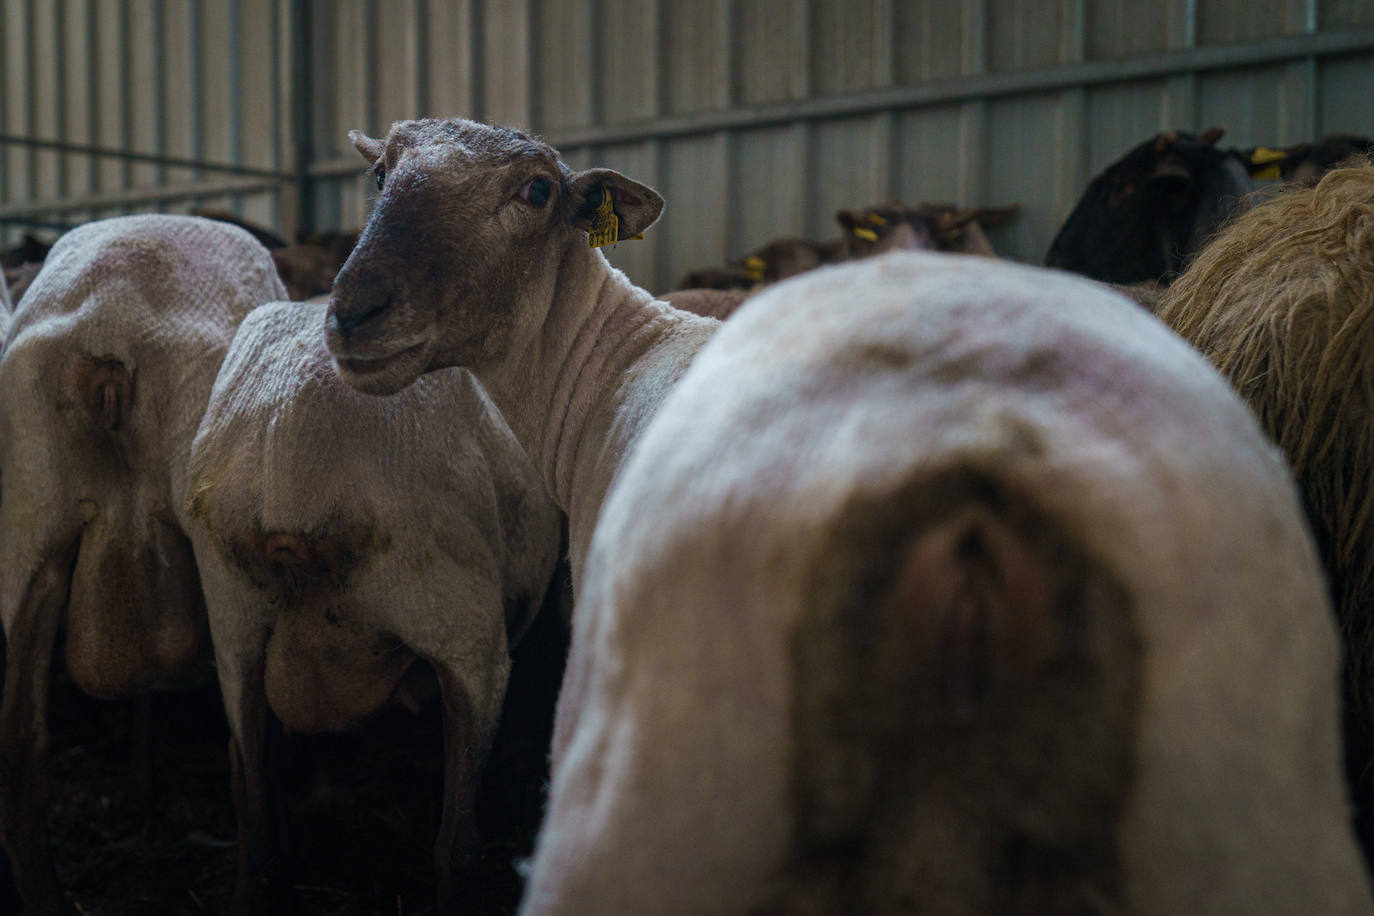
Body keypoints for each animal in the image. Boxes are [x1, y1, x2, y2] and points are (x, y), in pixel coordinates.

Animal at [0, 212, 287, 911]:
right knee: (247, 758)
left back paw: (47, 898)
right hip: (220, 545)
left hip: (26, 525)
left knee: (19, 750)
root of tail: (111, 323)